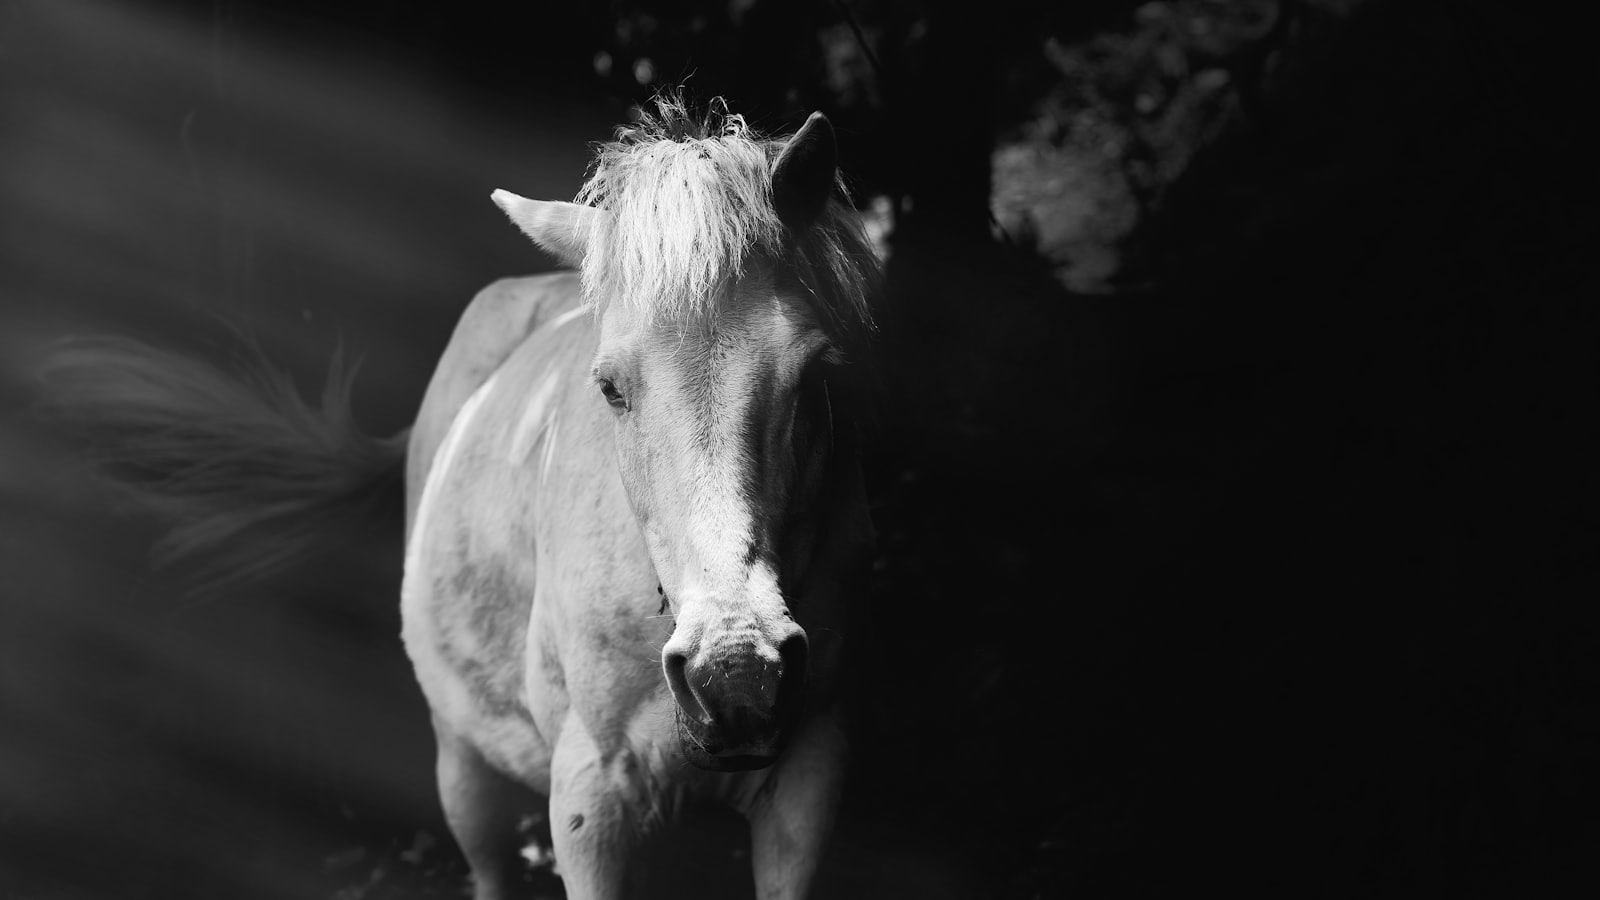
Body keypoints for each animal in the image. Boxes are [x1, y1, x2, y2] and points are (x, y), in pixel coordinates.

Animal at [37, 95, 881, 900]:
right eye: (610, 387)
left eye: (812, 374)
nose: (736, 671)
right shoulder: (591, 803)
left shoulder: (806, 790)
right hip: (464, 771)